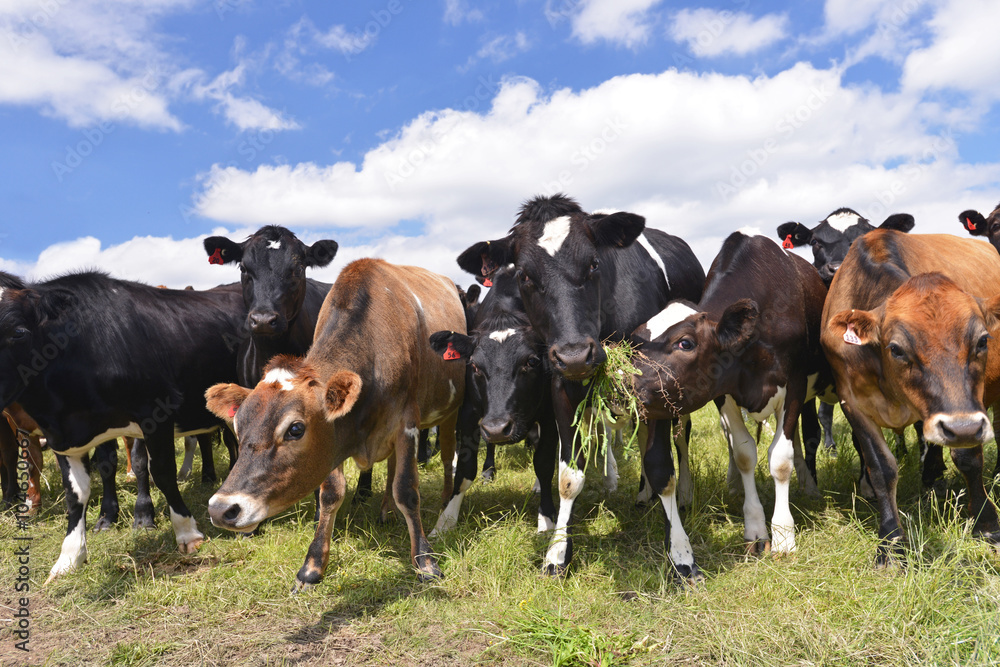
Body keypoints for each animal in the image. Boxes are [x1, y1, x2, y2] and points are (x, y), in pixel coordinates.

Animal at [0, 270, 246, 580]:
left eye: (18, 332)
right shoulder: (61, 437)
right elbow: (75, 494)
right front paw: (69, 557)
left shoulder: (156, 410)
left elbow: (161, 472)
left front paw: (187, 533)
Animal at [206, 260, 468, 588]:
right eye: (238, 426)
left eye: (295, 429)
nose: (220, 509)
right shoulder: (333, 440)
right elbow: (331, 493)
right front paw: (312, 566)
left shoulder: (407, 423)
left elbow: (407, 490)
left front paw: (426, 561)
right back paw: (386, 510)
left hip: (451, 412)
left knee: (446, 457)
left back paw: (444, 504)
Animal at [458, 193, 708, 576]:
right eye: (524, 275)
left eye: (593, 264)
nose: (575, 354)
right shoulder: (561, 389)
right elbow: (567, 476)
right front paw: (557, 553)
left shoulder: (658, 382)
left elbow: (661, 466)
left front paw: (681, 555)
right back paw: (643, 494)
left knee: (681, 438)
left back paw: (684, 493)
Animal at [820, 232, 1000, 568]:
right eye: (896, 349)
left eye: (983, 340)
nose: (962, 428)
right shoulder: (852, 404)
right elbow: (881, 469)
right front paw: (891, 543)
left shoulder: (973, 405)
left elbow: (969, 458)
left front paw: (986, 524)